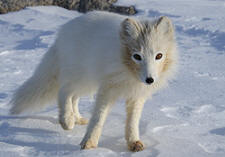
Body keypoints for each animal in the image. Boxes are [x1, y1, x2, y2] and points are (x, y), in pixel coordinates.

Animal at [9, 11, 178, 152]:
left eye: (159, 56)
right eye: (137, 56)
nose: (150, 80)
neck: (129, 72)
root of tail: (63, 31)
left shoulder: (136, 95)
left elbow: (133, 121)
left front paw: (134, 142)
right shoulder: (107, 89)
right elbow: (98, 117)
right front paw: (89, 143)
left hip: (87, 83)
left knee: (74, 97)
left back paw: (77, 118)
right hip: (82, 77)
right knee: (64, 91)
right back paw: (67, 120)